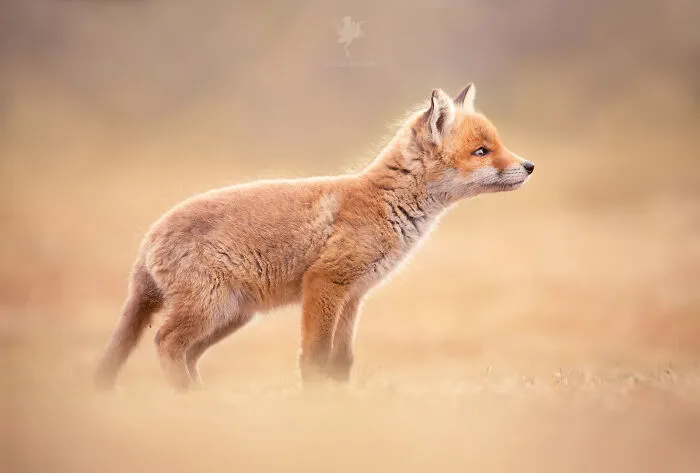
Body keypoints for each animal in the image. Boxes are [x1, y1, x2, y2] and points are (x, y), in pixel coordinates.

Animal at [94, 84, 534, 390]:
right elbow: (315, 358)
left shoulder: (353, 296)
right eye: (482, 151)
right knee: (166, 342)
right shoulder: (325, 284)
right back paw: (188, 398)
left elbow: (341, 363)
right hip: (209, 310)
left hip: (230, 317)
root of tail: (149, 236)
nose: (530, 166)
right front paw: (313, 405)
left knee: (186, 353)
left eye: (497, 145)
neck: (386, 205)